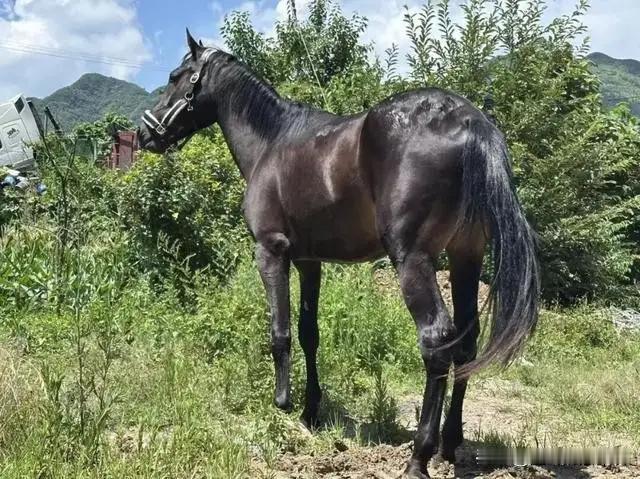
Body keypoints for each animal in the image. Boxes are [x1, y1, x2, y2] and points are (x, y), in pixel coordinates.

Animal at [138, 30, 540, 478]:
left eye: (176, 77)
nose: (144, 134)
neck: (271, 143)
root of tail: (470, 122)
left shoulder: (270, 252)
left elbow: (280, 331)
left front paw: (282, 403)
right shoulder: (308, 261)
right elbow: (308, 332)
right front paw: (311, 410)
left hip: (415, 261)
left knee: (437, 342)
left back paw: (419, 457)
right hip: (465, 256)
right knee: (466, 345)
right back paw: (450, 444)